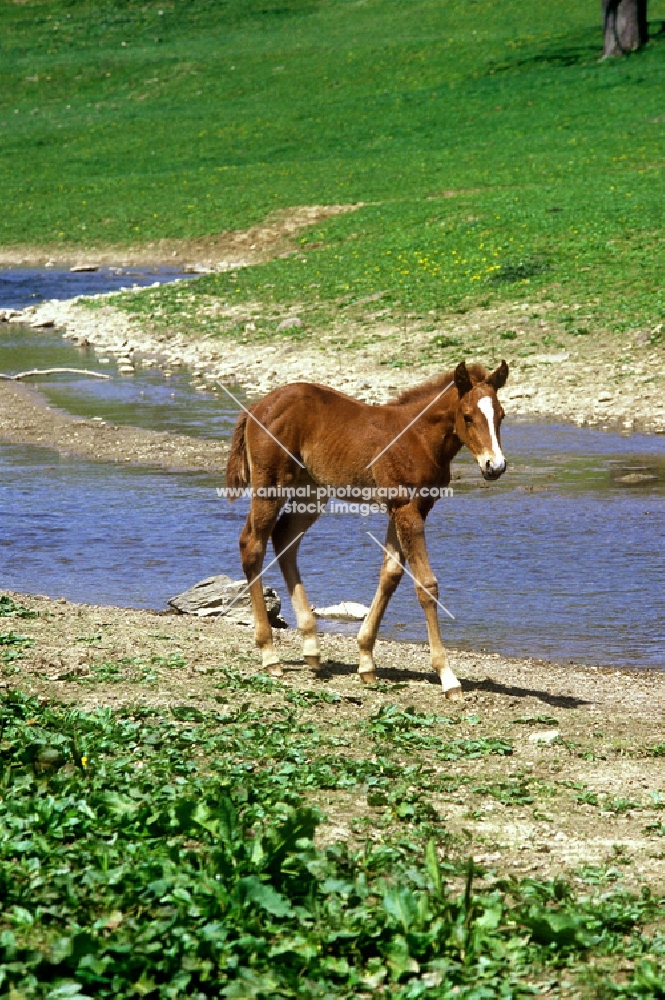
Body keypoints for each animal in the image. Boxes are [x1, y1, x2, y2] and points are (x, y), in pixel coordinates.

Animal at [224, 358, 508, 696]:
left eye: (501, 416)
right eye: (467, 416)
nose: (495, 467)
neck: (419, 438)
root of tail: (255, 406)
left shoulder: (411, 508)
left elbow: (391, 574)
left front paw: (366, 661)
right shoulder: (406, 507)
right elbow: (426, 584)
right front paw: (447, 676)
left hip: (312, 490)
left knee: (284, 539)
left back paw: (311, 648)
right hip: (270, 485)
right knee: (252, 544)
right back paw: (270, 655)